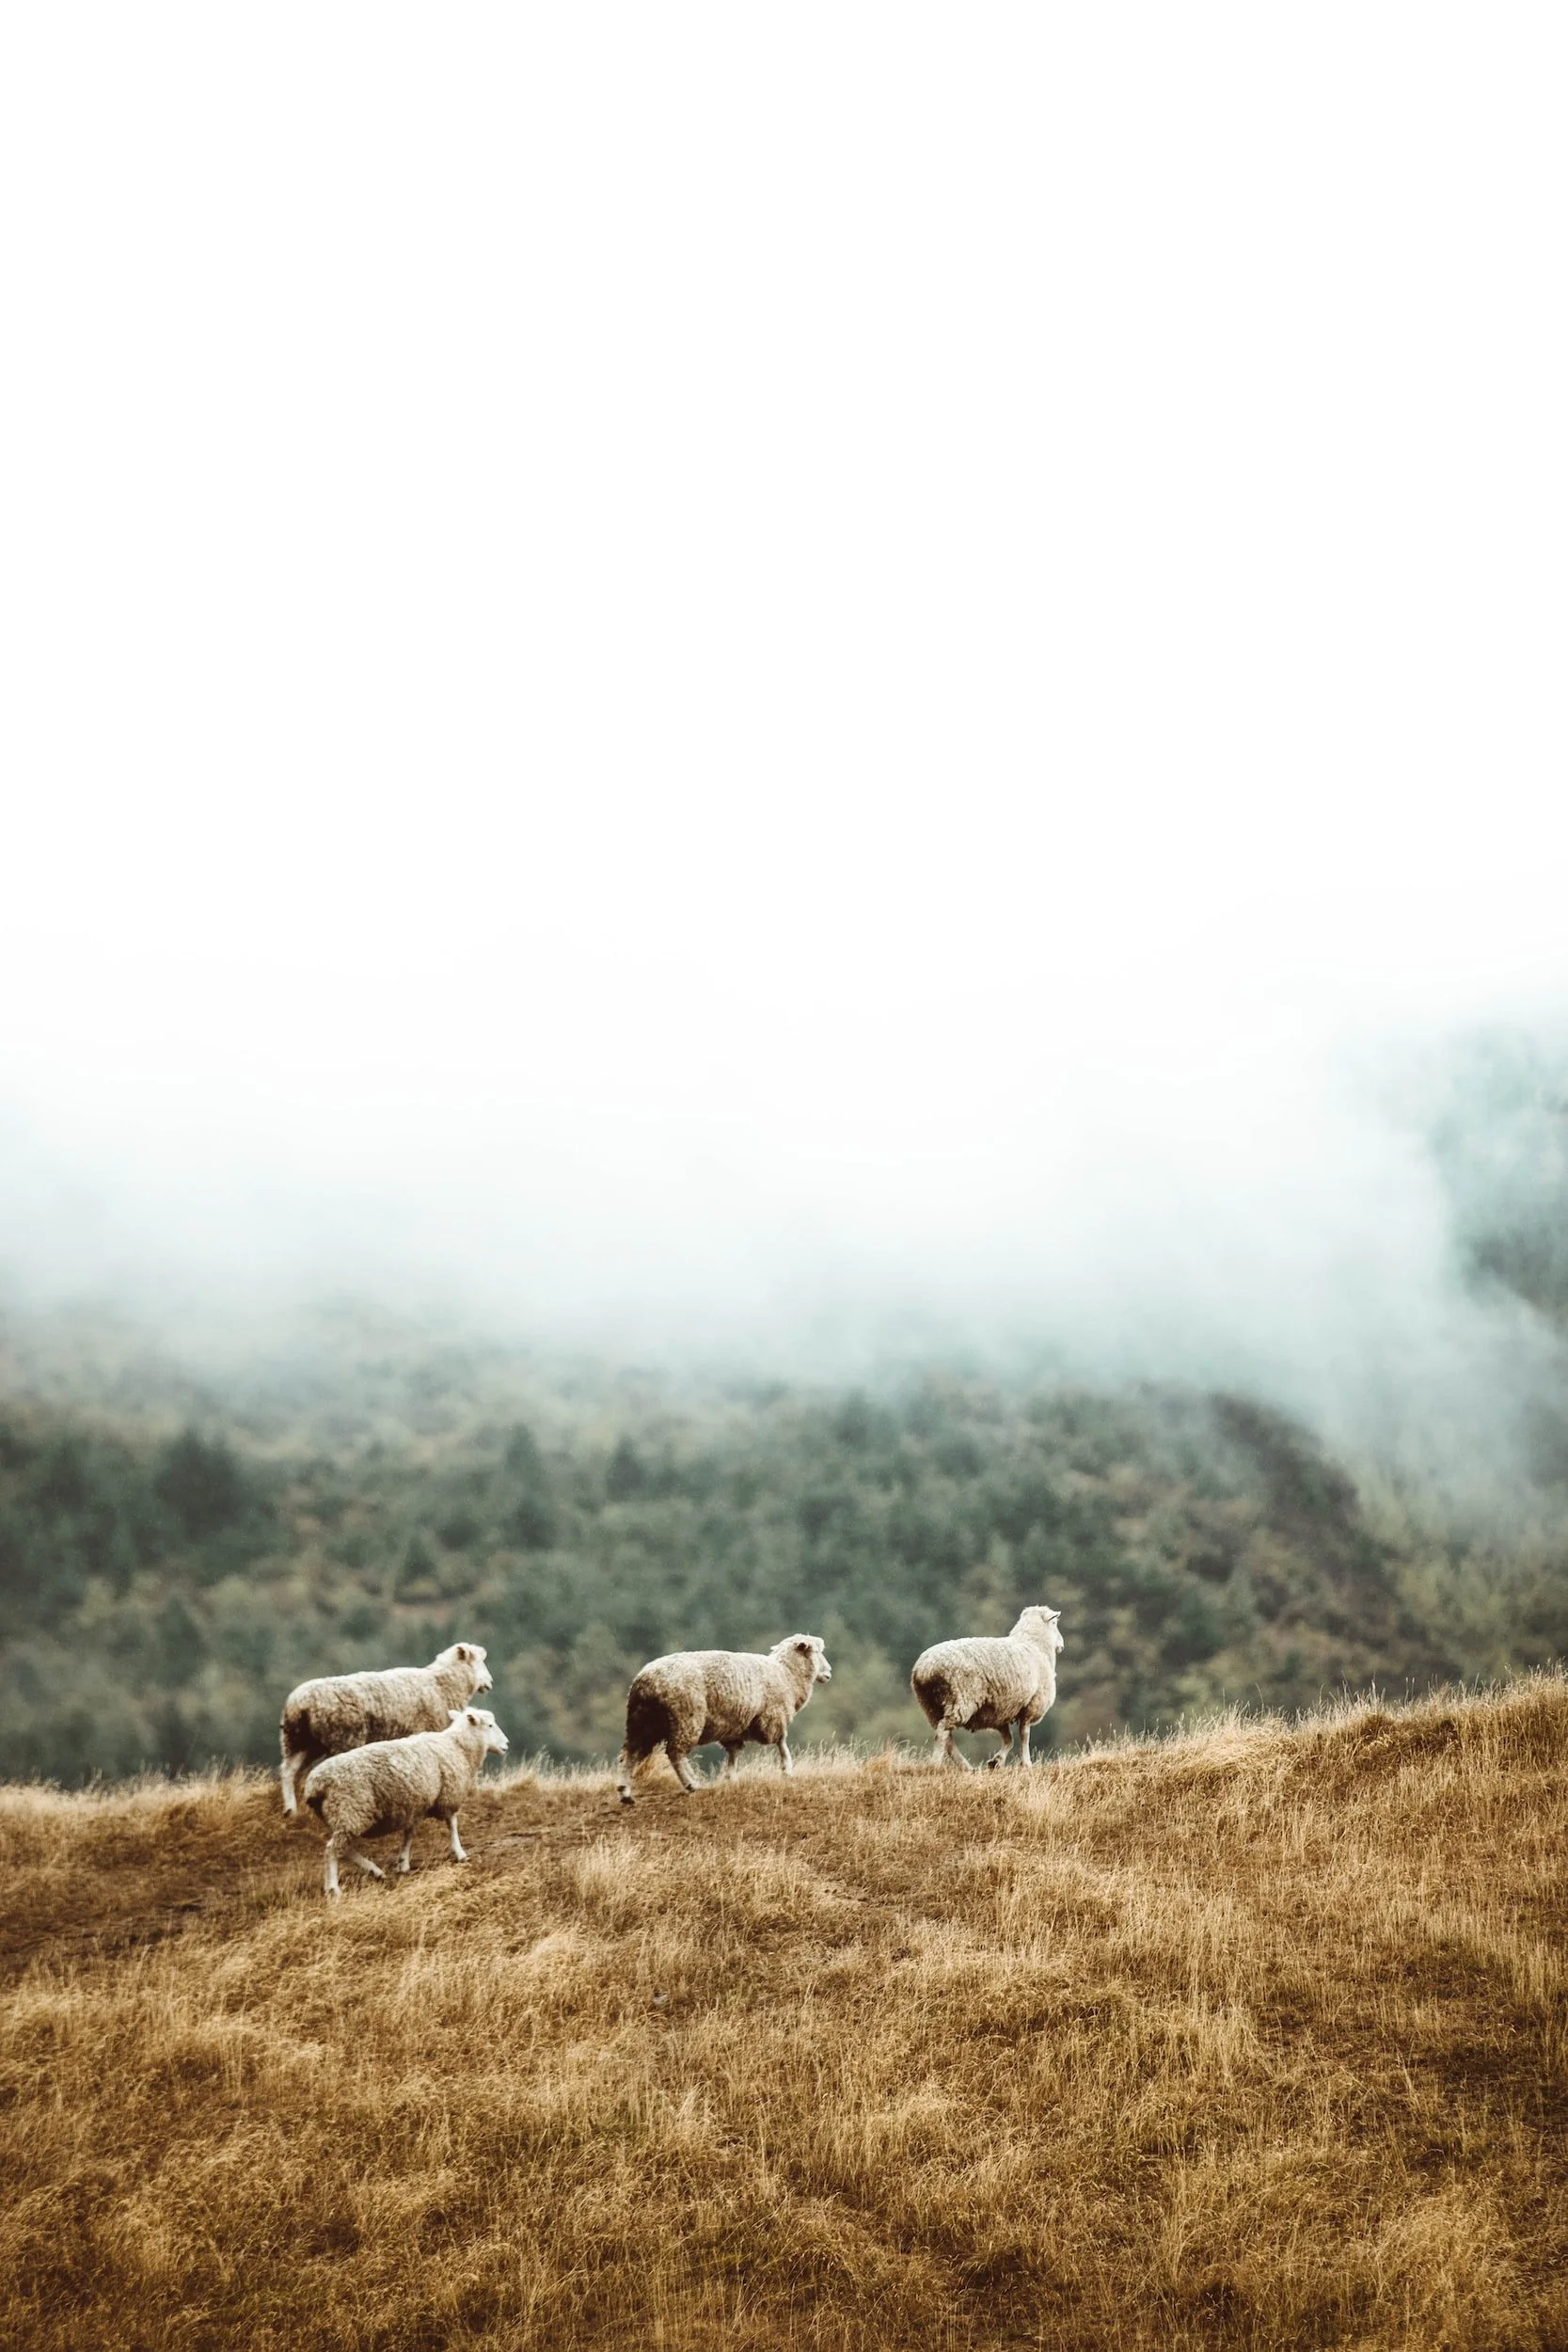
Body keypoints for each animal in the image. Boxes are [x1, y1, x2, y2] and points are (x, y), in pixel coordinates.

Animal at [279, 1642, 493, 1816]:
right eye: (479, 1662)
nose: (490, 1683)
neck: (441, 1684)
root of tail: (299, 1704)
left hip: (299, 1740)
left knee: (289, 1770)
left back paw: (291, 1810)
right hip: (342, 1738)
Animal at [303, 1706, 510, 1897]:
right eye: (490, 1725)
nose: (507, 1745)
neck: (457, 1746)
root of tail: (315, 1785)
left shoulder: (417, 1804)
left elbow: (409, 1833)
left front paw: (403, 1863)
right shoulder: (448, 1795)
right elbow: (452, 1824)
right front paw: (460, 1853)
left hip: (340, 1816)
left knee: (344, 1849)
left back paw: (375, 1871)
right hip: (350, 1811)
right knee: (332, 1850)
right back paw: (333, 1888)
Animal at [615, 1635, 832, 1803]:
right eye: (817, 1651)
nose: (828, 1673)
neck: (786, 1673)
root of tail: (646, 1681)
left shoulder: (736, 1727)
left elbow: (734, 1752)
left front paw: (730, 1778)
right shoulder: (774, 1716)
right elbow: (782, 1742)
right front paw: (787, 1769)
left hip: (642, 1722)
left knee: (629, 1753)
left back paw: (625, 1792)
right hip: (686, 1718)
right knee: (675, 1753)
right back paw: (692, 1784)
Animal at [911, 1606, 1064, 1768]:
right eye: (1054, 1623)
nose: (1062, 1644)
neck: (1035, 1645)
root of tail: (925, 1669)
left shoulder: (1000, 1711)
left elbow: (1009, 1739)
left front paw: (996, 1761)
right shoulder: (1031, 1705)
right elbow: (1024, 1735)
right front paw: (1026, 1763)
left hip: (930, 1706)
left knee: (947, 1738)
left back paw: (966, 1767)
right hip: (960, 1700)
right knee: (942, 1732)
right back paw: (935, 1764)